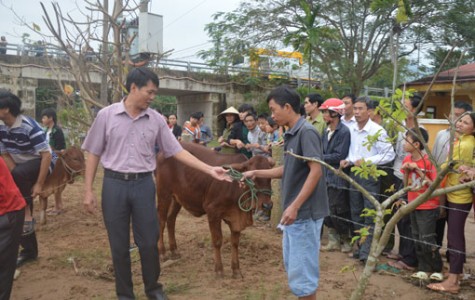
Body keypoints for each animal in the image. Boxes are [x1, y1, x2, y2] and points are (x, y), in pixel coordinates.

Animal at [156, 142, 274, 278]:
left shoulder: (236, 217)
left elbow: (235, 243)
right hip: (163, 192)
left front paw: (236, 270)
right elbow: (217, 241)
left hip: (178, 197)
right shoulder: (212, 211)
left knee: (171, 220)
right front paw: (219, 269)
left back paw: (174, 250)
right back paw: (162, 252)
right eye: (253, 179)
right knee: (161, 221)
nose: (267, 205)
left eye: (269, 177)